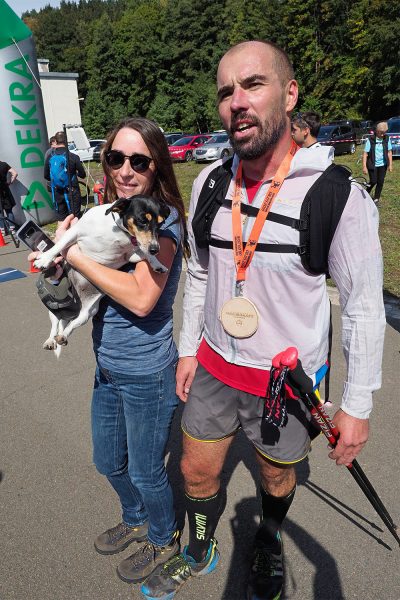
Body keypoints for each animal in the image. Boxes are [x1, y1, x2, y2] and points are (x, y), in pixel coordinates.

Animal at [33, 195, 170, 354]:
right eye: (142, 220)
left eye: (161, 223)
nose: (156, 249)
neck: (118, 231)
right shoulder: (75, 231)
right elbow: (58, 246)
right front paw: (45, 259)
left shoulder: (129, 256)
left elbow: (147, 255)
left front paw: (158, 265)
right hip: (54, 309)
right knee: (56, 325)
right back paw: (50, 340)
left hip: (88, 312)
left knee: (70, 324)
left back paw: (63, 336)